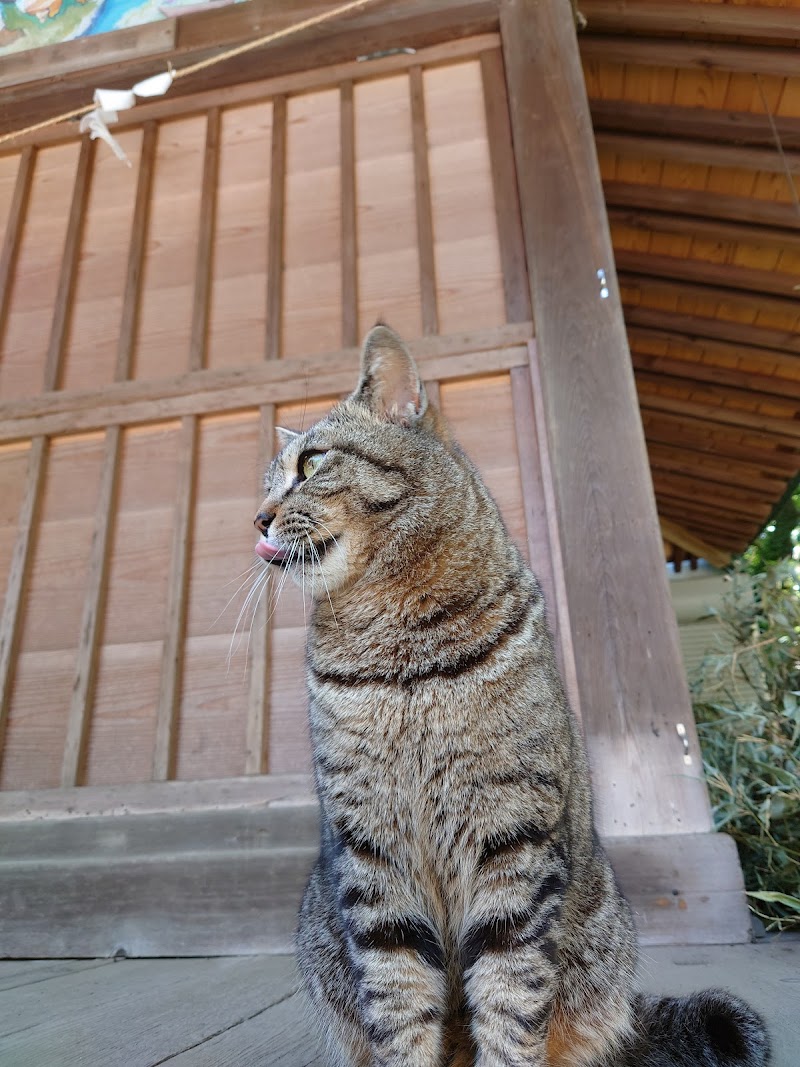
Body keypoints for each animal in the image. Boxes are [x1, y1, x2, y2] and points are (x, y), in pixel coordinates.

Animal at [254, 324, 772, 1067]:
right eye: (268, 483)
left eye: (312, 462)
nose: (258, 518)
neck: (400, 654)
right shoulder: (372, 850)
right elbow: (398, 1000)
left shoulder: (512, 837)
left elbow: (508, 993)